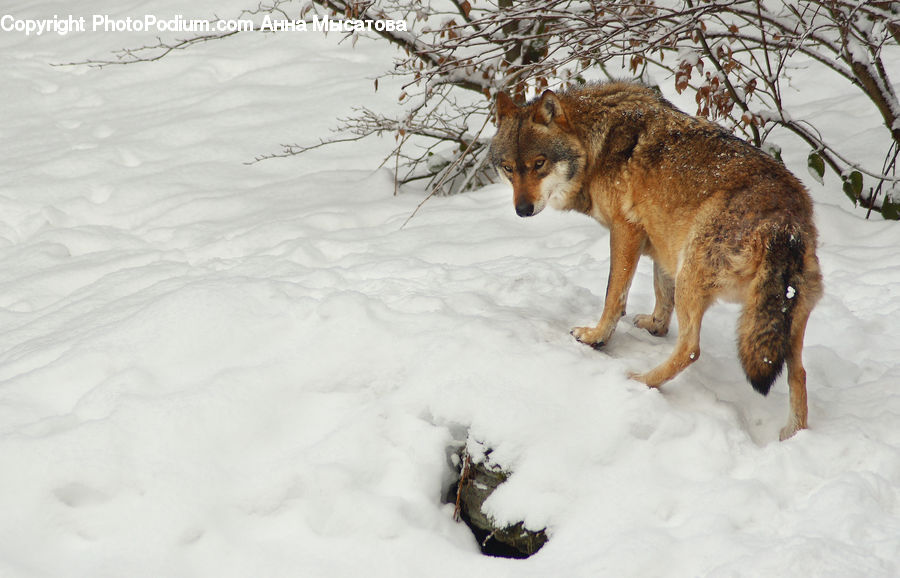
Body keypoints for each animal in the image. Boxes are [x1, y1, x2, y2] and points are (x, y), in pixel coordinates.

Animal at [492, 82, 824, 440]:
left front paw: (596, 337)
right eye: (509, 168)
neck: (597, 146)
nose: (522, 210)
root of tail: (786, 223)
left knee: (691, 349)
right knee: (799, 374)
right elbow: (660, 292)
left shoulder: (626, 230)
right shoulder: (661, 242)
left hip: (691, 275)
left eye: (539, 163)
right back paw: (793, 435)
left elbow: (613, 296)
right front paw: (655, 326)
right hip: (778, 319)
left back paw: (641, 381)